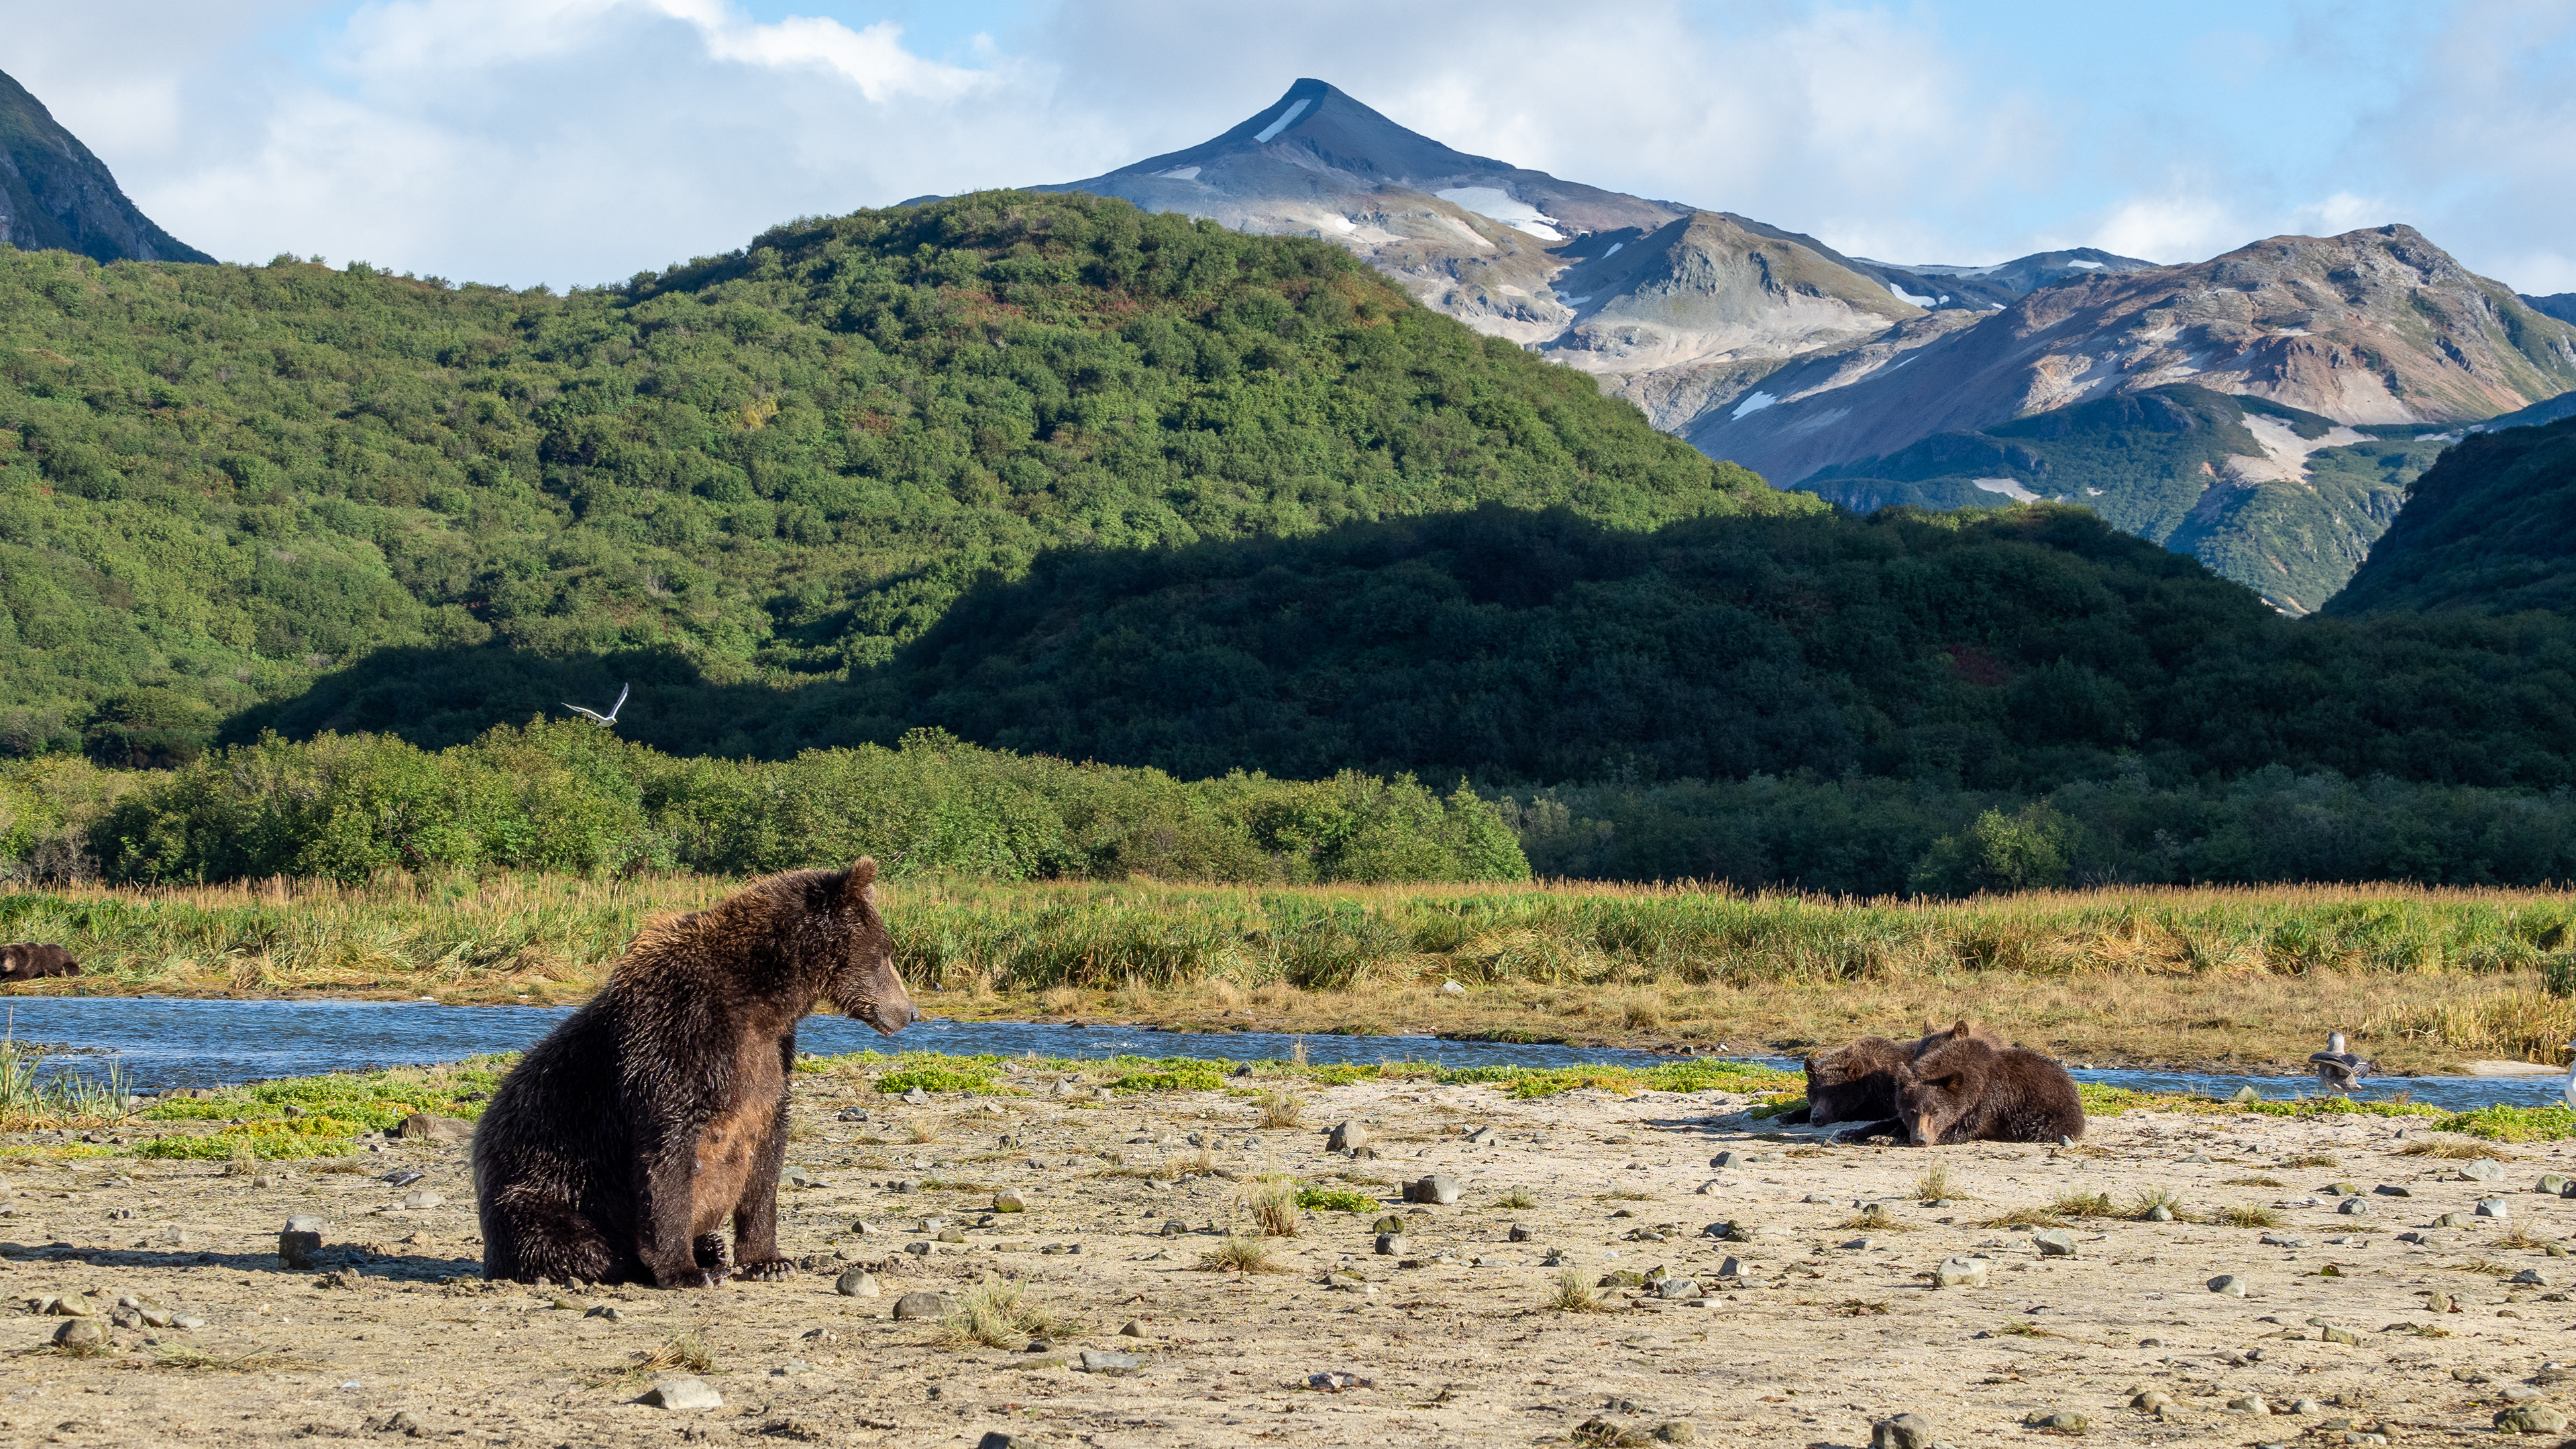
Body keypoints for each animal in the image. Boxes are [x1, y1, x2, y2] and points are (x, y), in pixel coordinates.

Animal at [472, 859, 918, 1288]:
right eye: (885, 951)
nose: (911, 1012)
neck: (764, 1000)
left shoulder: (771, 1060)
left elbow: (765, 1160)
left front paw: (769, 1261)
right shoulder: (675, 1040)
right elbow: (668, 1156)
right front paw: (684, 1270)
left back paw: (712, 1248)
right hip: (542, 1184)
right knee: (568, 1238)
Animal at [1895, 1027, 2085, 1146]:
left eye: (1936, 1112)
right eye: (1911, 1111)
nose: (1920, 1139)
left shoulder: (1987, 1101)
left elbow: (1963, 1129)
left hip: (2054, 1109)